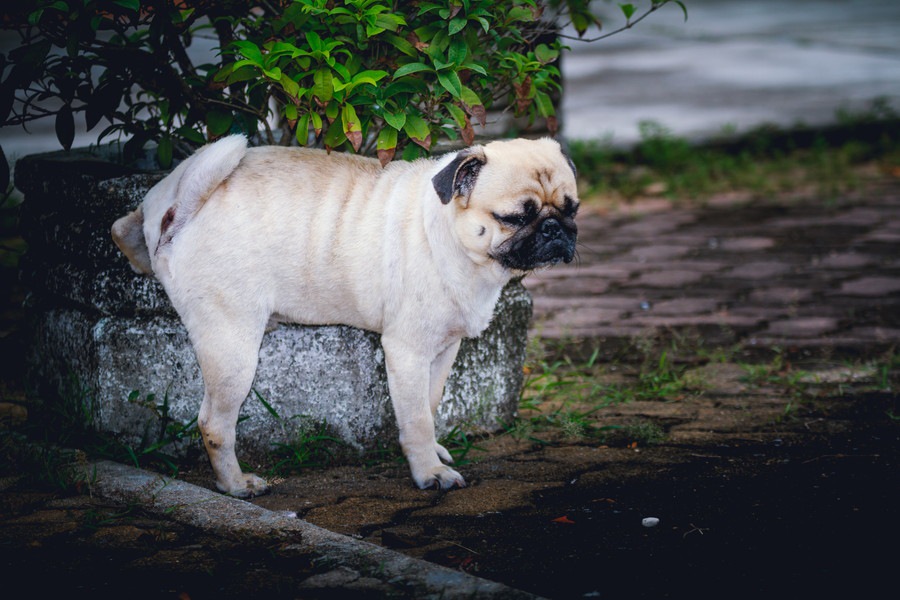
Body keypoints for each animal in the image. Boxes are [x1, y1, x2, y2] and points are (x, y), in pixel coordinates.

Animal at [110, 136, 576, 496]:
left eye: (571, 208)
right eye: (515, 217)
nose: (557, 228)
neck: (451, 236)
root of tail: (178, 210)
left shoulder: (443, 351)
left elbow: (429, 404)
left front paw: (435, 452)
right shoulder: (407, 351)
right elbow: (416, 420)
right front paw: (429, 471)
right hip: (232, 347)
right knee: (213, 423)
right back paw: (235, 484)